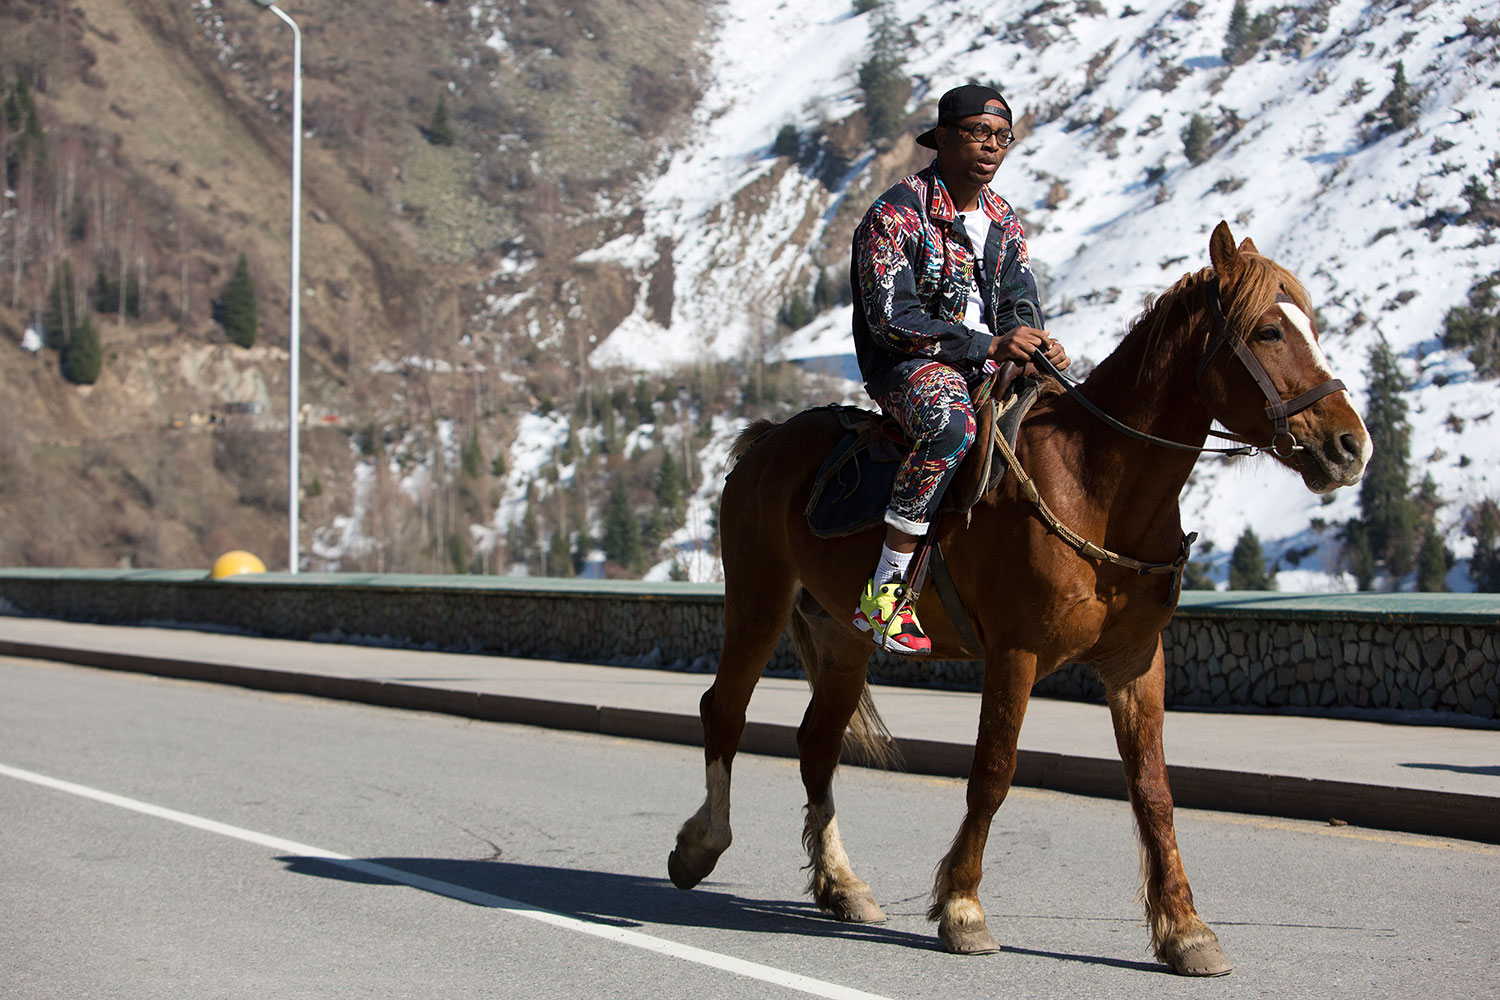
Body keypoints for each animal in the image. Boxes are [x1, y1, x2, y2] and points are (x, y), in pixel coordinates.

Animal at [669, 220, 1374, 977]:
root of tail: (766, 441)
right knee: (725, 711)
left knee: (817, 744)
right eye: (1270, 330)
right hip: (758, 600)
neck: (1099, 483)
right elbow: (993, 773)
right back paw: (700, 846)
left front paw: (1185, 929)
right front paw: (962, 908)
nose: (1349, 446)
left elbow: (1154, 791)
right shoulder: (1016, 653)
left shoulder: (1136, 660)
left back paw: (842, 885)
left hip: (843, 636)